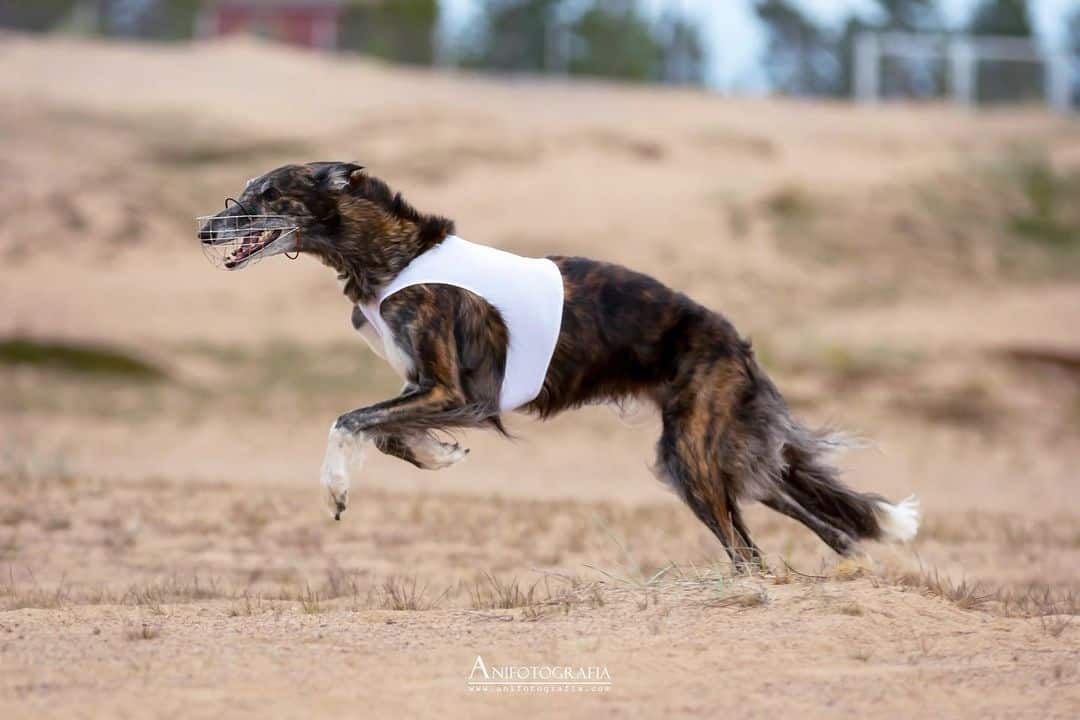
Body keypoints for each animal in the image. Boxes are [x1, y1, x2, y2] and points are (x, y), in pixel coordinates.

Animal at [198, 160, 915, 565]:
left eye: (266, 194)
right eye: (244, 191)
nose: (204, 229)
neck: (394, 256)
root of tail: (733, 339)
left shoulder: (458, 392)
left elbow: (349, 419)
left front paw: (337, 487)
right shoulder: (421, 387)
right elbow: (386, 430)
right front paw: (438, 454)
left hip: (691, 453)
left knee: (750, 549)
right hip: (719, 456)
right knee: (797, 516)